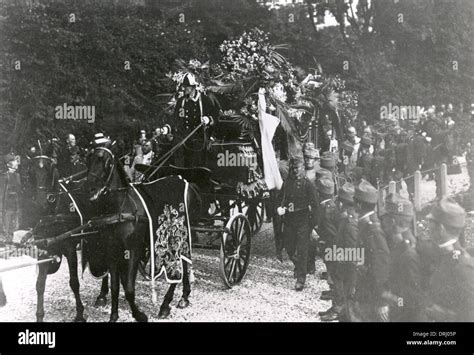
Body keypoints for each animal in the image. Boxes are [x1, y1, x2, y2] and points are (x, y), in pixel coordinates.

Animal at [86, 146, 197, 322]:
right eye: (88, 160)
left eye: (107, 163)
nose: (90, 188)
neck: (121, 207)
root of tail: (185, 181)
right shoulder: (112, 251)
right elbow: (115, 287)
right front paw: (114, 315)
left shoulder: (133, 251)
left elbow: (129, 289)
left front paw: (139, 315)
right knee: (185, 263)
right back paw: (184, 297)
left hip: (180, 237)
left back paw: (165, 305)